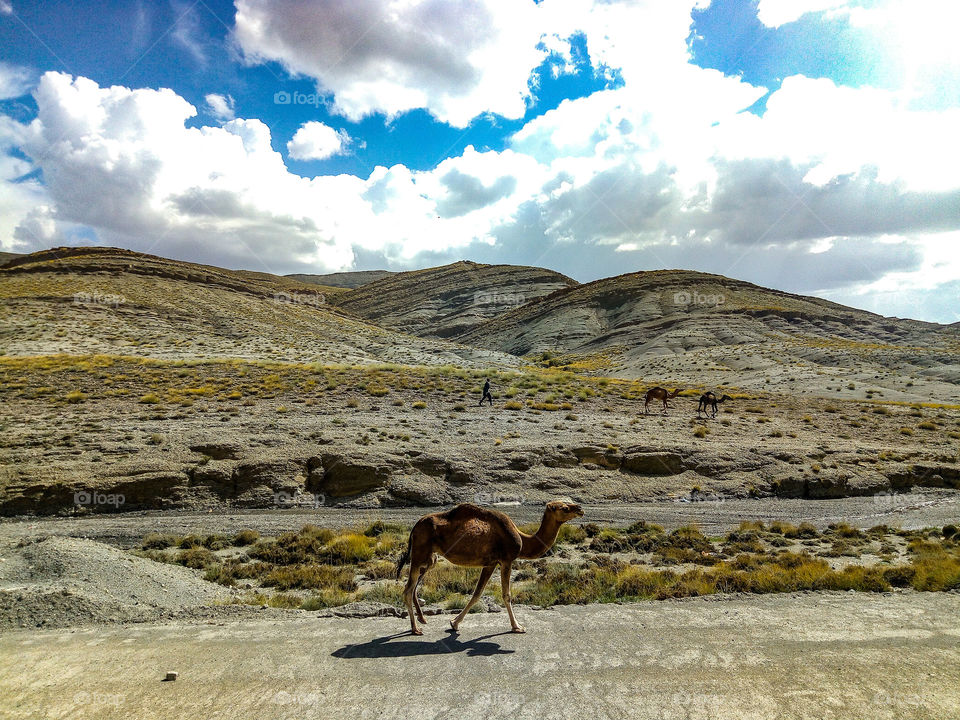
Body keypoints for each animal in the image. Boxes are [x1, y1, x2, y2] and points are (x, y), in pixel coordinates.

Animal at [396, 500, 584, 635]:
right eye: (565, 508)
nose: (580, 509)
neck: (523, 541)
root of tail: (415, 527)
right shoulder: (506, 560)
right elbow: (506, 595)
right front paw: (517, 626)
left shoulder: (490, 563)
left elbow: (477, 594)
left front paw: (454, 623)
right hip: (419, 552)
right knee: (407, 589)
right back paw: (416, 629)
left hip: (430, 558)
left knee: (414, 585)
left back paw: (421, 620)